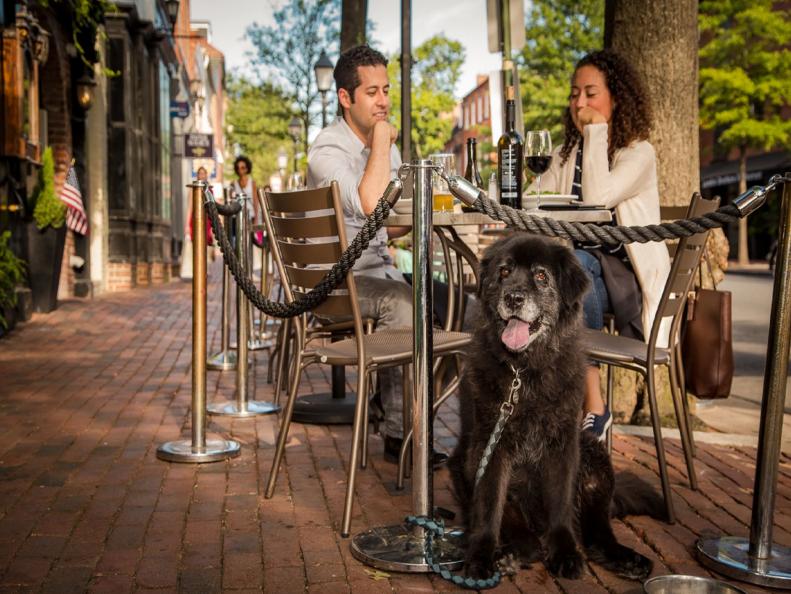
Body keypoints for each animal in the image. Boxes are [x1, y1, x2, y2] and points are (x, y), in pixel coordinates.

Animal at [452, 234, 664, 580]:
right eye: (504, 272)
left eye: (541, 276)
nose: (514, 297)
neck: (524, 371)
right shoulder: (489, 445)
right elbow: (489, 504)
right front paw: (481, 556)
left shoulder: (563, 444)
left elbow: (561, 503)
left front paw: (564, 553)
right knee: (524, 535)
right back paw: (511, 555)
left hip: (594, 457)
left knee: (597, 531)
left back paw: (626, 558)